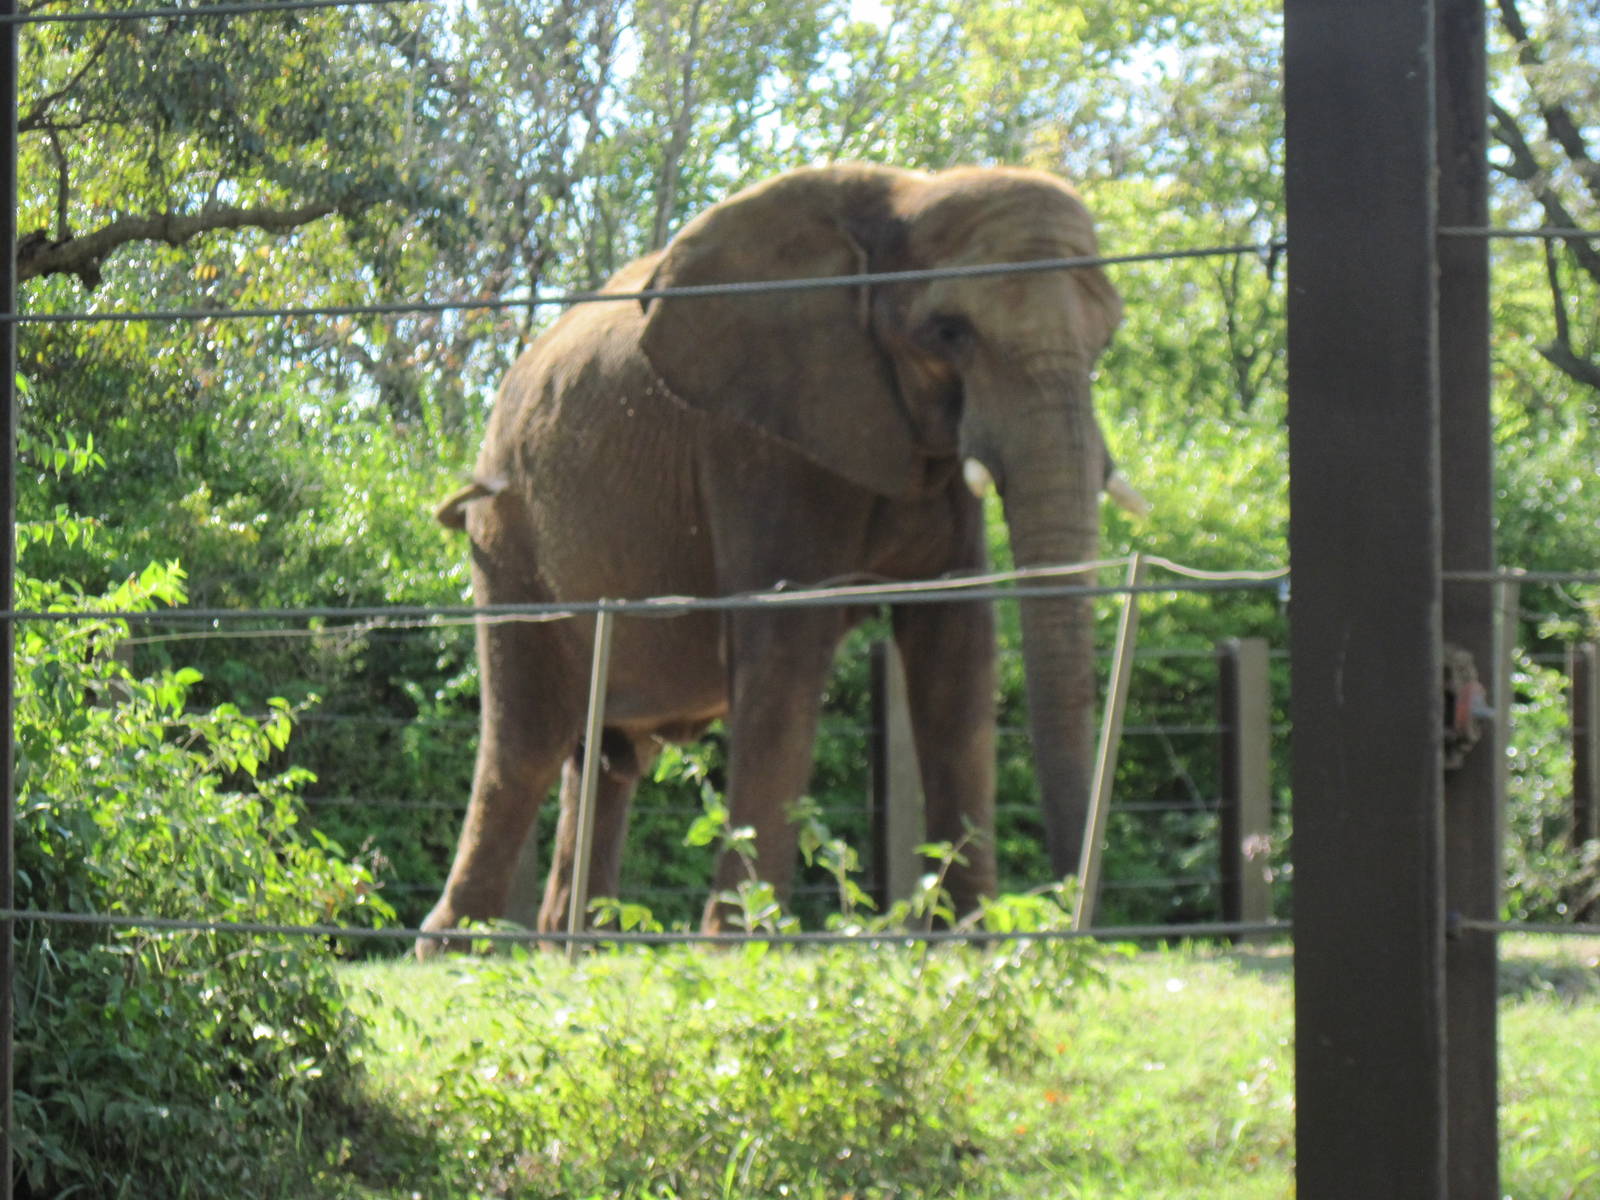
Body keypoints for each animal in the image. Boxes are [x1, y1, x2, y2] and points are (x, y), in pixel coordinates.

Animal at [417, 162, 1133, 955]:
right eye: (949, 332)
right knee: (525, 742)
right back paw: (449, 949)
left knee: (603, 756)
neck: (905, 196)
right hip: (505, 533)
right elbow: (786, 648)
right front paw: (743, 943)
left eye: (1106, 343)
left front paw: (970, 943)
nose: (1074, 920)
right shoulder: (755, 442)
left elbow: (956, 647)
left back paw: (581, 946)